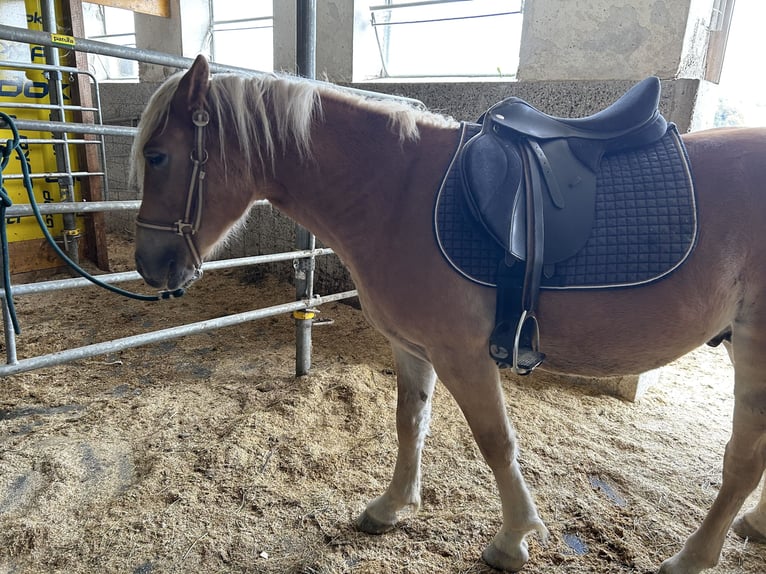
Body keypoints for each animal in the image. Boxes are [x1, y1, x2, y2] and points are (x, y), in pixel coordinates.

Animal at [132, 51, 766, 572]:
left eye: (159, 155)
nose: (148, 266)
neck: (394, 192)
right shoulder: (412, 346)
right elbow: (410, 421)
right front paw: (391, 507)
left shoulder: (463, 354)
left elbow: (495, 441)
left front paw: (512, 540)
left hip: (754, 348)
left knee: (741, 462)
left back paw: (693, 557)